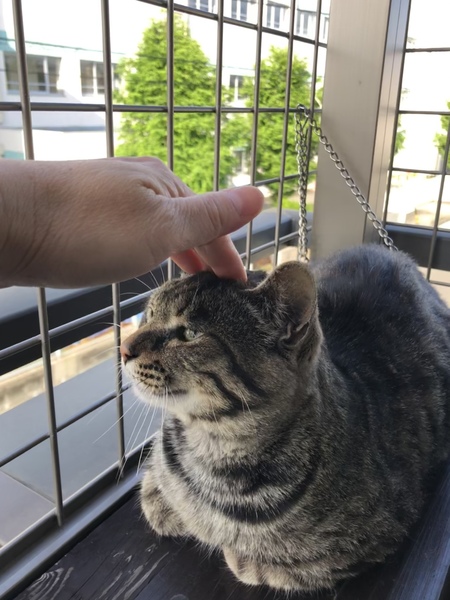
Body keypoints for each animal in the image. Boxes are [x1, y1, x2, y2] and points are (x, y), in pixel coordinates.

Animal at [121, 244, 450, 592]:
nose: (124, 348)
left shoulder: (374, 536)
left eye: (190, 333)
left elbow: (267, 565)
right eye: (149, 314)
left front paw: (235, 552)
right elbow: (156, 494)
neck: (211, 446)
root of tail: (397, 254)